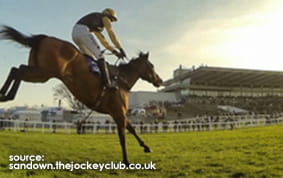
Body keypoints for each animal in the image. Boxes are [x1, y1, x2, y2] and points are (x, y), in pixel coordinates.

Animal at [0, 25, 163, 165]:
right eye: (152, 66)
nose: (159, 80)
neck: (121, 80)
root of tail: (44, 38)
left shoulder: (119, 112)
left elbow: (132, 129)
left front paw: (146, 147)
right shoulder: (118, 112)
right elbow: (123, 135)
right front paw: (126, 161)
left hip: (39, 72)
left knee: (16, 69)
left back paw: (3, 95)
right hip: (43, 72)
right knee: (18, 71)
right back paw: (6, 96)